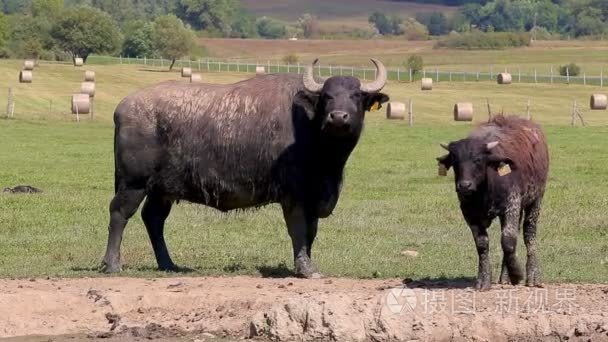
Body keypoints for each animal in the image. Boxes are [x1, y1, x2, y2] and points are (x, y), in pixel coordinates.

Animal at [101, 58, 390, 278]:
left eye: (356, 96)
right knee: (119, 212)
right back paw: (112, 264)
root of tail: (123, 107)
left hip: (162, 190)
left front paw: (307, 264)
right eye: (327, 97)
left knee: (153, 219)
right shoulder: (294, 195)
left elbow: (312, 232)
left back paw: (168, 264)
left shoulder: (315, 196)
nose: (338, 117)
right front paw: (305, 268)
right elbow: (298, 229)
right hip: (134, 182)